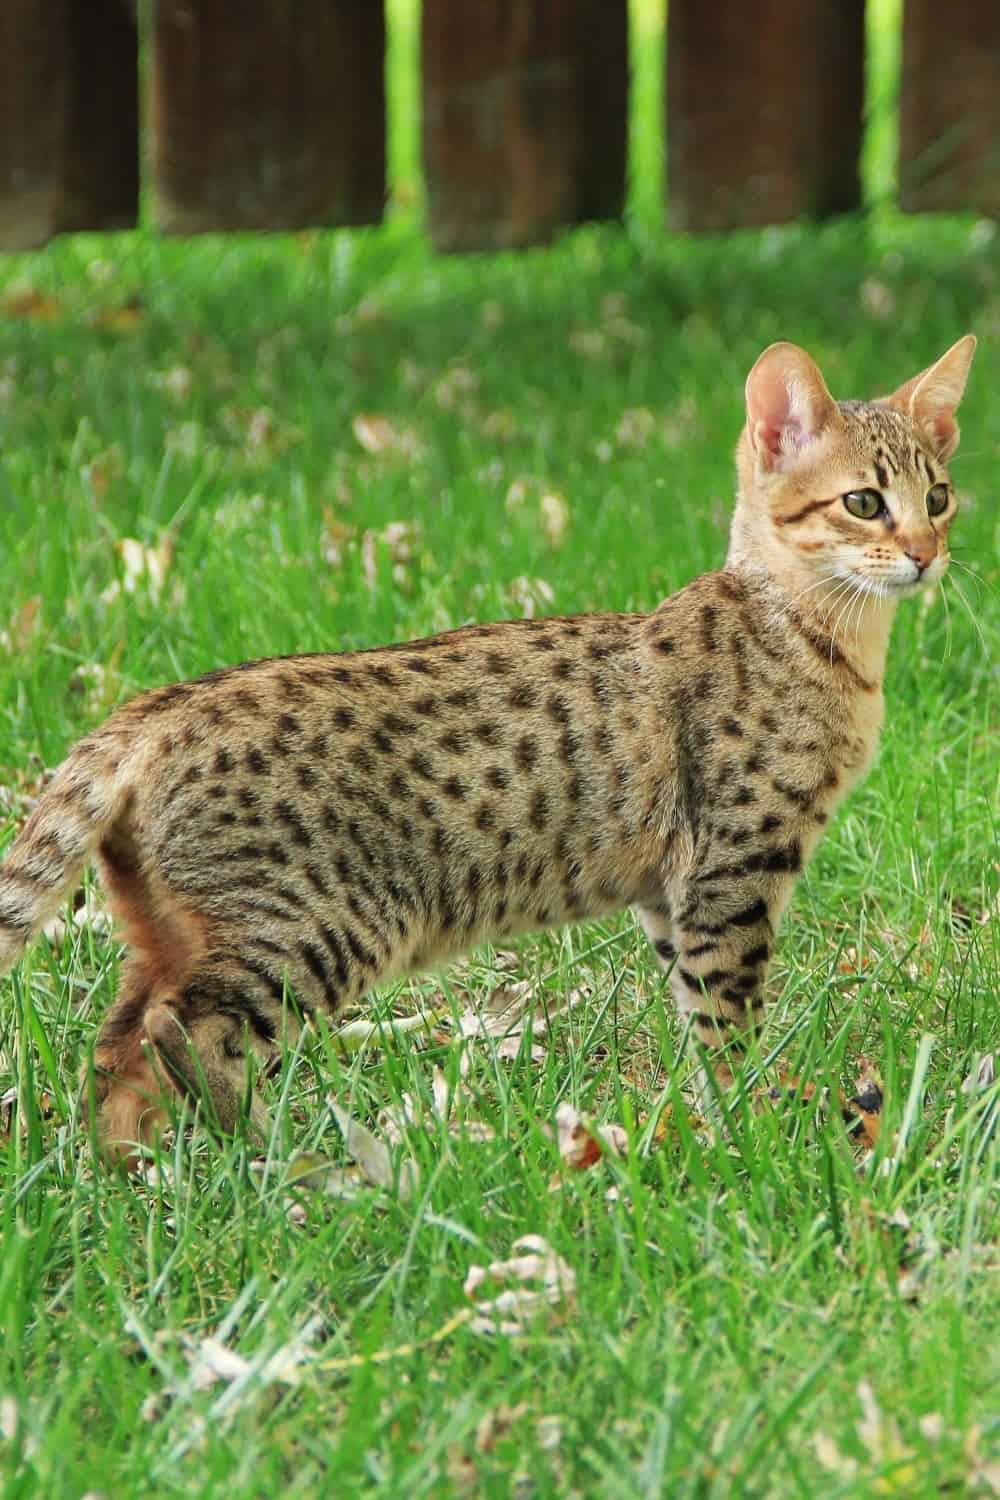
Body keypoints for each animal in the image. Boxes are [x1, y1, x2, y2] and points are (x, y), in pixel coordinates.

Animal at [0, 340, 977, 1158]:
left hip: (180, 930)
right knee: (179, 1032)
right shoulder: (731, 868)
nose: (926, 553)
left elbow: (690, 1006)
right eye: (863, 503)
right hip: (305, 930)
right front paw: (754, 1127)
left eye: (938, 497)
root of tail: (151, 709)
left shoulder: (670, 892)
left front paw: (723, 1119)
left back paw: (131, 1172)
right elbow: (726, 1017)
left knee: (115, 1045)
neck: (820, 639)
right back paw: (270, 1159)